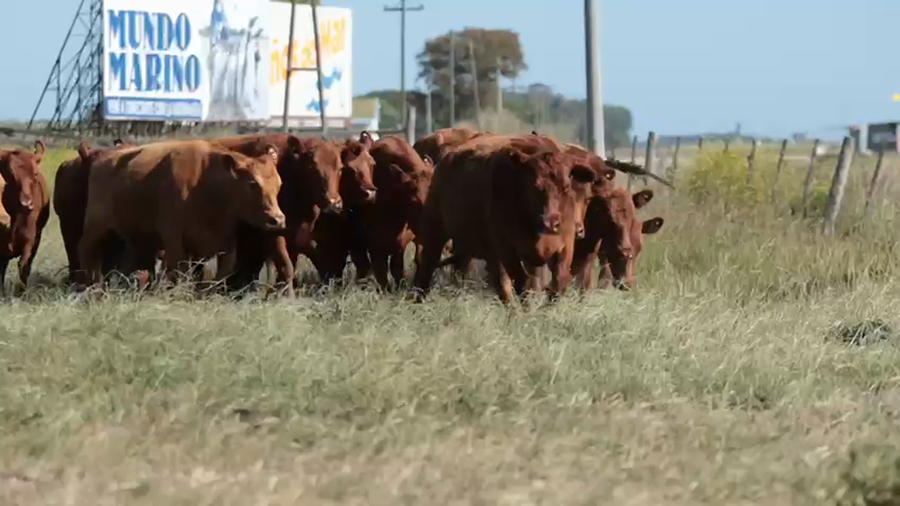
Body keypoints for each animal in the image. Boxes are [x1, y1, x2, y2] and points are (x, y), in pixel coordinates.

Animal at [77, 139, 286, 288]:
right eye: (252, 184)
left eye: (279, 183)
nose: (277, 220)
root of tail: (102, 158)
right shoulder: (174, 239)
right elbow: (181, 271)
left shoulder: (225, 242)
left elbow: (219, 276)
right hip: (95, 228)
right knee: (89, 258)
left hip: (136, 238)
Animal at [413, 138, 597, 304]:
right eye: (533, 185)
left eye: (566, 187)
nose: (550, 223)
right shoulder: (508, 250)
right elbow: (523, 285)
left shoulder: (564, 248)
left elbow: (557, 284)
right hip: (435, 233)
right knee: (427, 269)